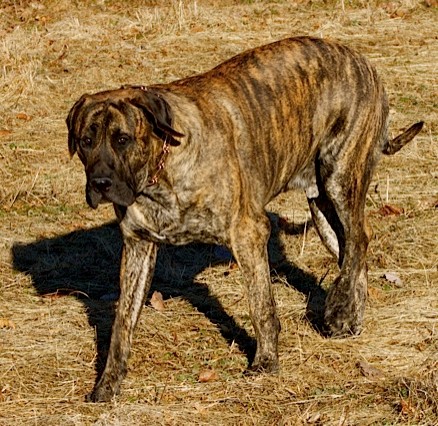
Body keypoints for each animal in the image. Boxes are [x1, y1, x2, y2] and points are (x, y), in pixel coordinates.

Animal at [66, 37, 422, 402]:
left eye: (123, 139)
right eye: (85, 141)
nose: (100, 184)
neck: (160, 172)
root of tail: (363, 61)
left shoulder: (248, 233)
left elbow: (261, 306)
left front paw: (265, 362)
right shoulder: (138, 247)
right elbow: (122, 324)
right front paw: (108, 383)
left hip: (340, 178)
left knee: (359, 238)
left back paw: (338, 309)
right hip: (323, 209)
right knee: (351, 251)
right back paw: (351, 314)